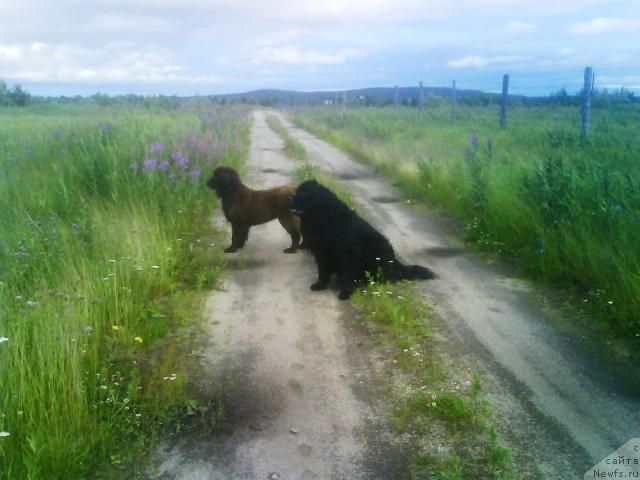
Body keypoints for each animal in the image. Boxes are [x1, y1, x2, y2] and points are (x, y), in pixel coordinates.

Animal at [290, 180, 436, 300]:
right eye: (296, 192)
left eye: (301, 194)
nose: (289, 198)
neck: (326, 217)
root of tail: (395, 262)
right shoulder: (321, 253)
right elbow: (323, 271)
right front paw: (320, 285)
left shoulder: (348, 255)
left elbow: (347, 275)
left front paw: (346, 293)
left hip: (378, 250)